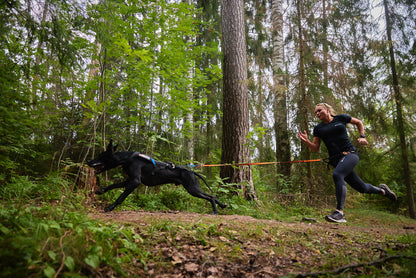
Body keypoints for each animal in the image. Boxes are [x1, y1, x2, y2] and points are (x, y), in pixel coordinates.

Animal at [86, 140, 226, 214]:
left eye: (101, 155)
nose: (88, 161)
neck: (128, 159)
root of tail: (191, 171)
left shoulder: (135, 181)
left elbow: (121, 197)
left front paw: (110, 207)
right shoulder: (129, 180)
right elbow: (113, 185)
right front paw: (100, 190)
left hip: (192, 189)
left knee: (210, 197)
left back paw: (215, 211)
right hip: (193, 188)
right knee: (212, 196)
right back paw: (222, 205)